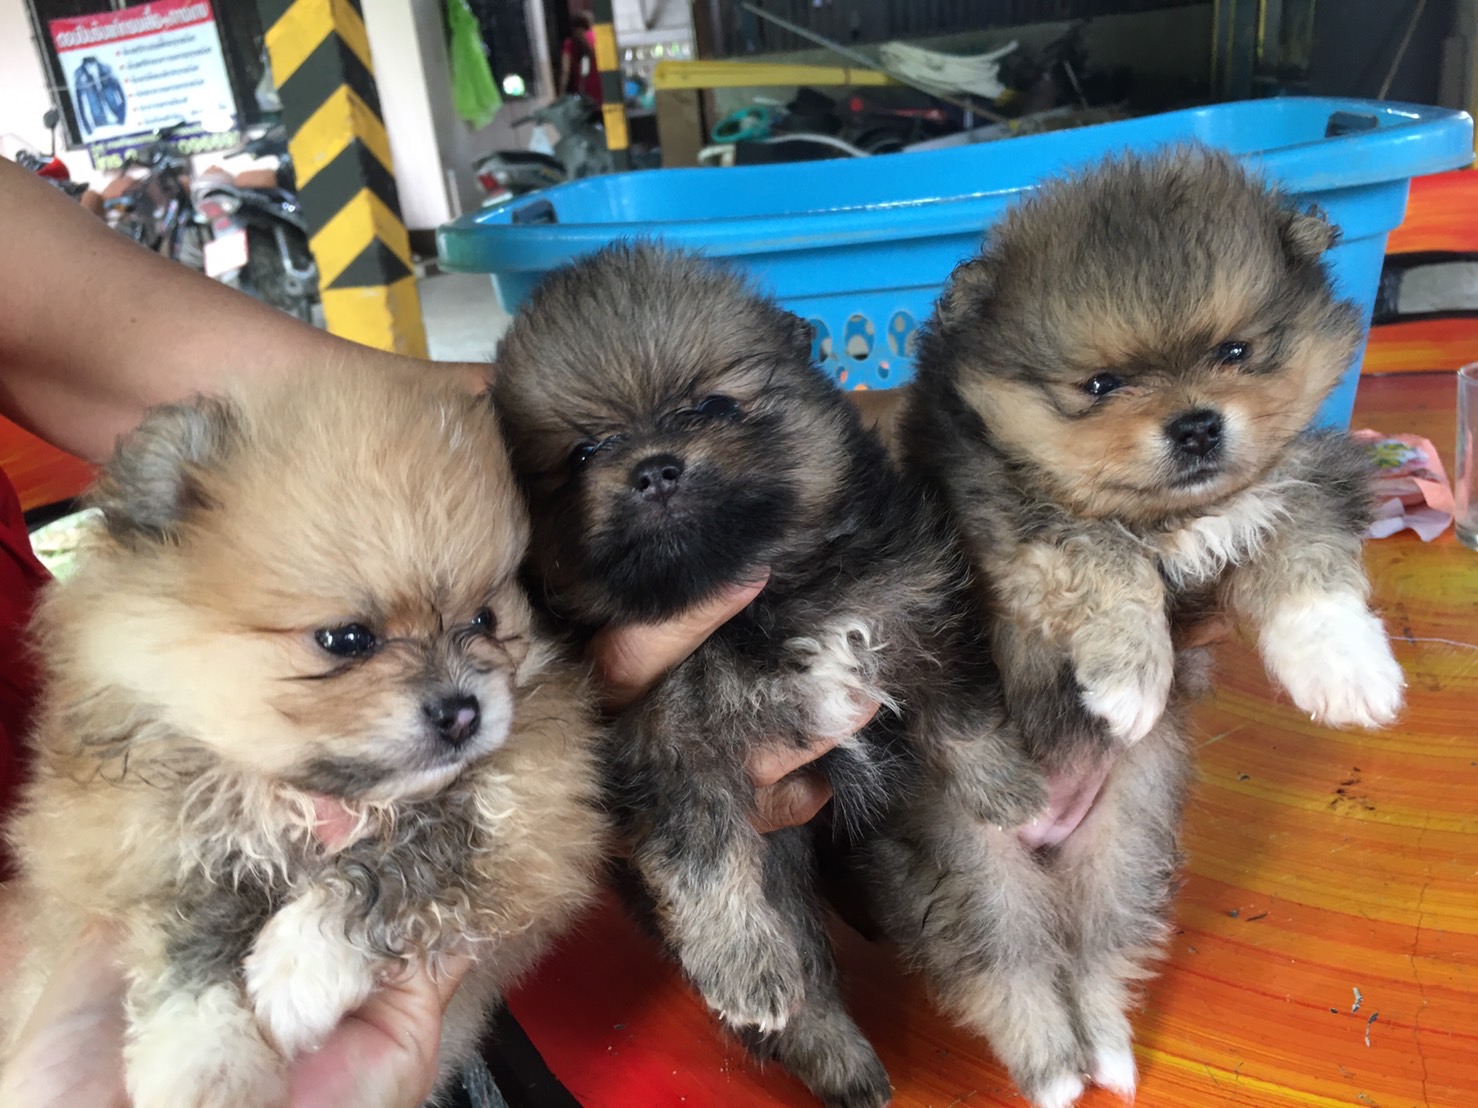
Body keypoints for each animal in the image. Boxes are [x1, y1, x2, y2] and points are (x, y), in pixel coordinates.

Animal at [0, 367, 608, 1107]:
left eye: (486, 619)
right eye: (346, 639)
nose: (463, 712)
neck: (311, 789)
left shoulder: (531, 817)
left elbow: (403, 857)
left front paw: (298, 969)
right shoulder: (143, 843)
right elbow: (188, 929)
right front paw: (204, 1060)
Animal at [491, 243, 1044, 1107]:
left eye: (713, 407)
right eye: (582, 455)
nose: (653, 469)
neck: (758, 604)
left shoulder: (911, 607)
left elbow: (958, 709)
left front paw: (1006, 788)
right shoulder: (670, 759)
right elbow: (708, 870)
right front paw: (743, 966)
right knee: (806, 972)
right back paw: (842, 1059)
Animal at [869, 148, 1405, 1108]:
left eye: (1234, 351)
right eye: (1100, 386)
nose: (1195, 424)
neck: (1169, 515)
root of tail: (1045, 841)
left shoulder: (1300, 475)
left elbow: (1306, 552)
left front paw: (1348, 669)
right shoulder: (1006, 541)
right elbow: (1105, 557)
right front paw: (1128, 678)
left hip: (1127, 845)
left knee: (1095, 952)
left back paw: (1109, 1053)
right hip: (970, 865)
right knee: (1007, 968)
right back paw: (1052, 1072)